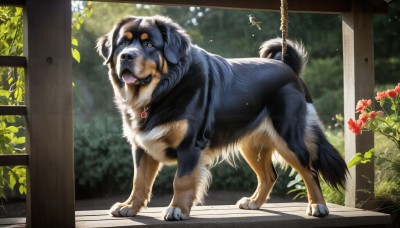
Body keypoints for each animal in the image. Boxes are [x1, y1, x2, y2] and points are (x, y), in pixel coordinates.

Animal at [97, 15, 346, 220]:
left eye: (149, 44)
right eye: (122, 43)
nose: (126, 56)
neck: (164, 89)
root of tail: (289, 68)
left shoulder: (191, 145)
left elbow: (181, 181)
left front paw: (177, 209)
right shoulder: (141, 146)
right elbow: (139, 181)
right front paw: (129, 206)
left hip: (288, 138)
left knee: (310, 171)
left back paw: (318, 206)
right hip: (251, 144)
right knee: (269, 175)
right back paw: (254, 202)